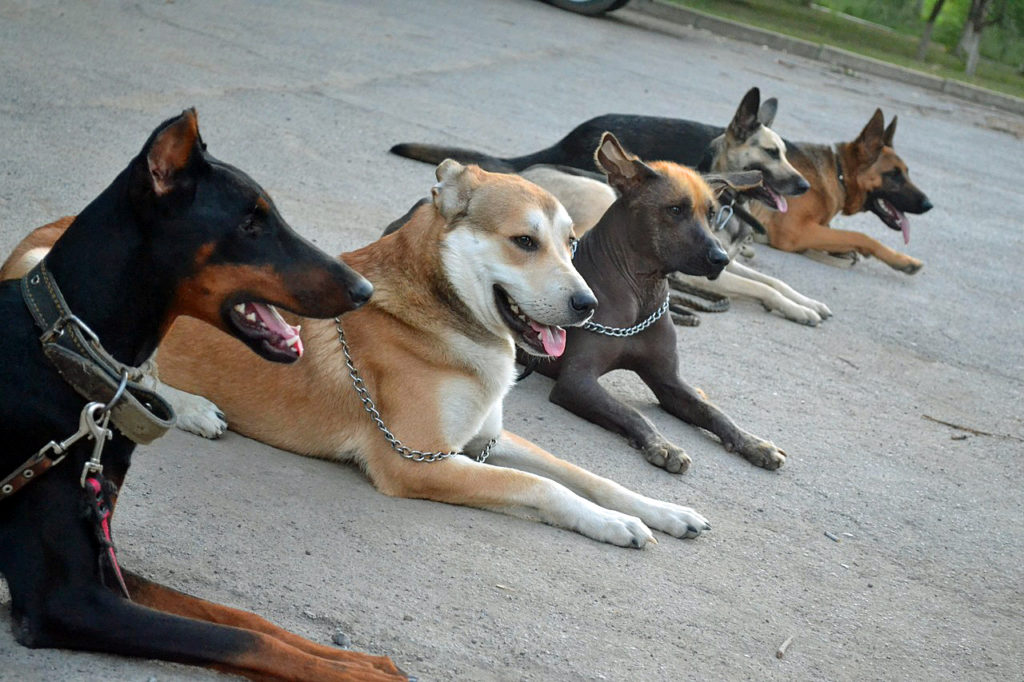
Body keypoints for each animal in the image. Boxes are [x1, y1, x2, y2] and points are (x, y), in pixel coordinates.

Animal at [0, 109, 407, 675]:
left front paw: (362, 660)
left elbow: (246, 619)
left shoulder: (105, 557)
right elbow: (245, 640)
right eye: (250, 223)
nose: (363, 291)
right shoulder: (63, 599)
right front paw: (350, 671)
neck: (68, 350)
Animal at [528, 133, 782, 473]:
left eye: (711, 213)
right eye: (675, 209)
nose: (722, 259)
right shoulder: (576, 381)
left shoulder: (668, 381)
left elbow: (715, 413)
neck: (641, 294)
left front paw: (753, 443)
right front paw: (663, 445)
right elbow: (633, 413)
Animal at [753, 110, 937, 272]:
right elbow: (858, 236)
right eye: (893, 174)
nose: (929, 205)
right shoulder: (794, 231)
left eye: (907, 172)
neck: (839, 173)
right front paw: (902, 260)